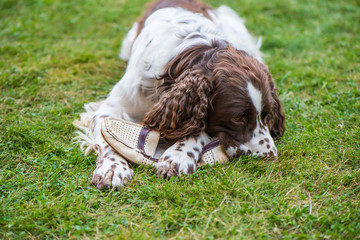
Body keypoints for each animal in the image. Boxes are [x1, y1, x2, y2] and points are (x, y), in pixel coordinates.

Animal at [74, 0, 286, 190]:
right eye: (238, 118)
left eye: (267, 115)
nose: (271, 156)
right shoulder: (110, 108)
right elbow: (107, 138)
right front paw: (113, 169)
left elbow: (196, 128)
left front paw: (178, 156)